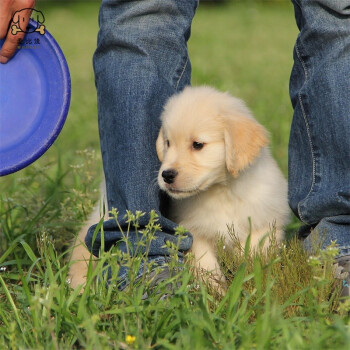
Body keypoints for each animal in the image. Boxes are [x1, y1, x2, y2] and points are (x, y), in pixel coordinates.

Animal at [157, 86, 290, 284]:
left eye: (198, 144)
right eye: (168, 143)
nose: (166, 175)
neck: (222, 191)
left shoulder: (261, 226)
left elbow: (253, 261)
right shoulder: (197, 234)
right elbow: (208, 268)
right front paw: (214, 290)